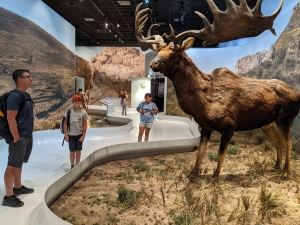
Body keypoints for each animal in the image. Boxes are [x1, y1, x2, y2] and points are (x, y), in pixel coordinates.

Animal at [135, 0, 300, 179]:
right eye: (158, 51)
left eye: (173, 54)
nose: (153, 63)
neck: (205, 101)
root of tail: (297, 93)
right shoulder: (205, 126)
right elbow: (201, 151)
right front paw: (193, 174)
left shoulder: (229, 126)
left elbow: (221, 153)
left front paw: (215, 177)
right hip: (267, 123)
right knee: (278, 140)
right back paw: (276, 166)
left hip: (286, 117)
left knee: (288, 142)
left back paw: (285, 172)